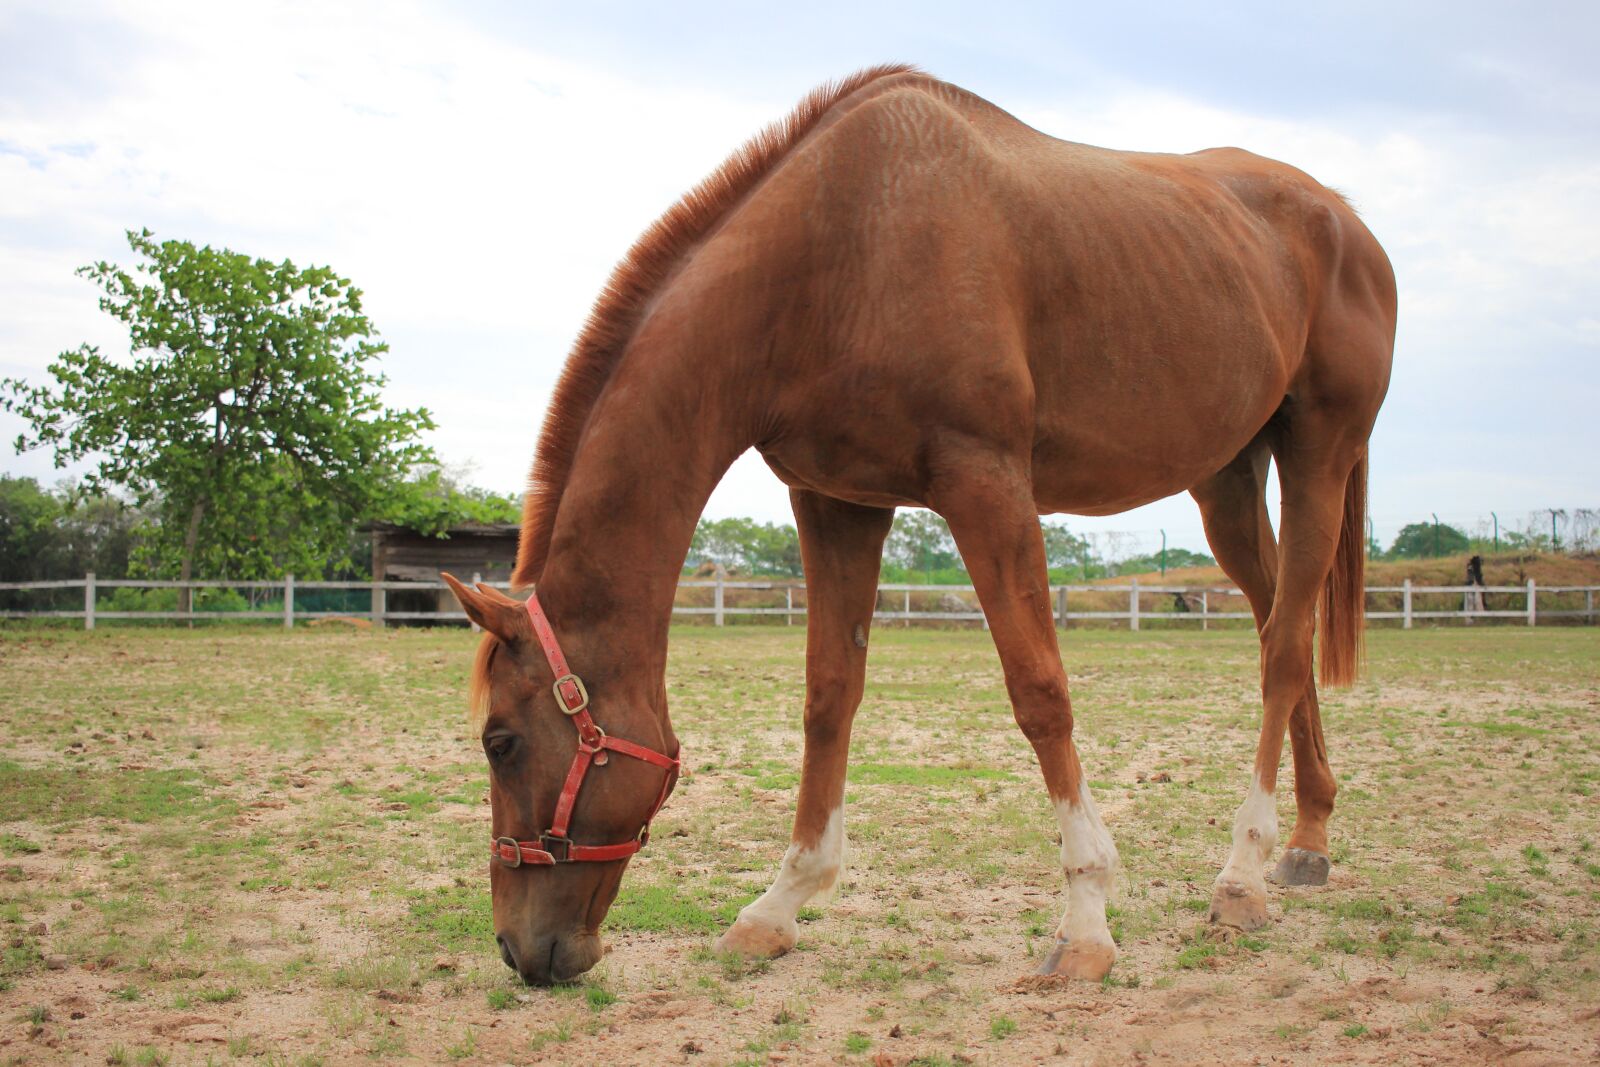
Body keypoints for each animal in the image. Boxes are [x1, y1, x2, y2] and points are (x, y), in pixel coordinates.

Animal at [444, 64, 1395, 985]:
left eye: (501, 741)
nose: (520, 951)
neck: (841, 249)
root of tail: (1348, 223)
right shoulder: (838, 501)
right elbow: (829, 696)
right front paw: (778, 906)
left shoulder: (987, 483)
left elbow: (1041, 692)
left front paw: (1086, 921)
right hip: (1227, 483)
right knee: (1282, 630)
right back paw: (1307, 840)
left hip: (1318, 453)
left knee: (1282, 651)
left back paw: (1241, 876)